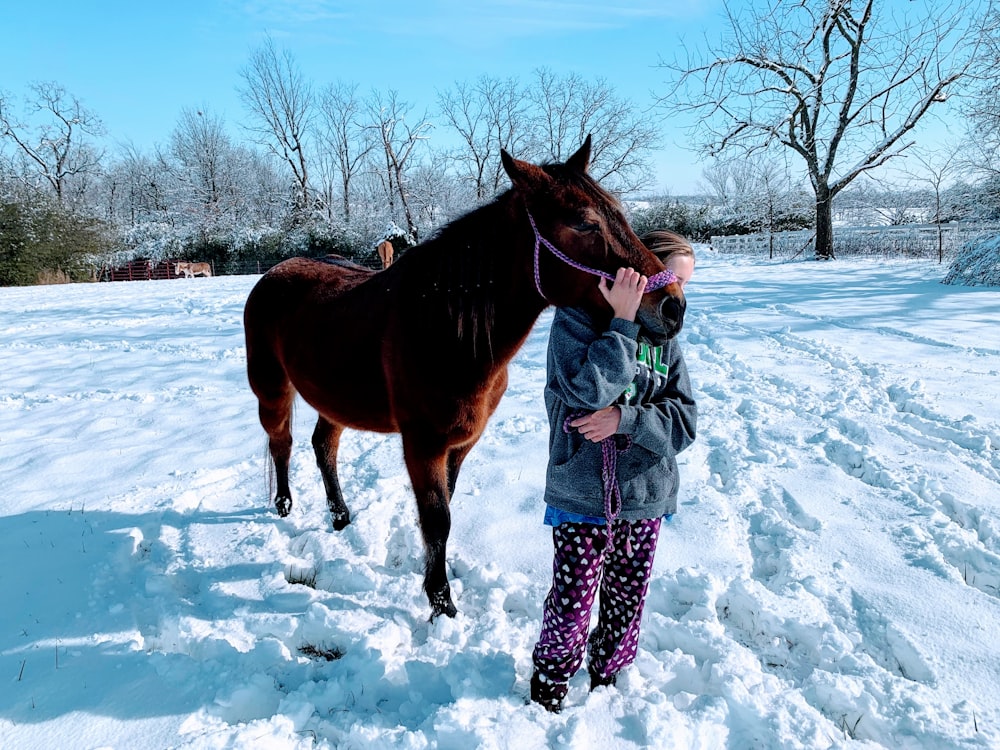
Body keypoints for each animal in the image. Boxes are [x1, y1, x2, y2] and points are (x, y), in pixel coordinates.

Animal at [242, 138, 684, 620]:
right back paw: (284, 505)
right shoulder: (423, 445)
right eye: (584, 222)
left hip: (334, 398)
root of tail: (273, 274)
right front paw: (441, 602)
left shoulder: (460, 444)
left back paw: (340, 516)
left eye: (619, 212)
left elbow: (445, 509)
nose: (672, 306)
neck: (442, 330)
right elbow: (437, 519)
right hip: (271, 390)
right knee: (281, 442)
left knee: (324, 446)